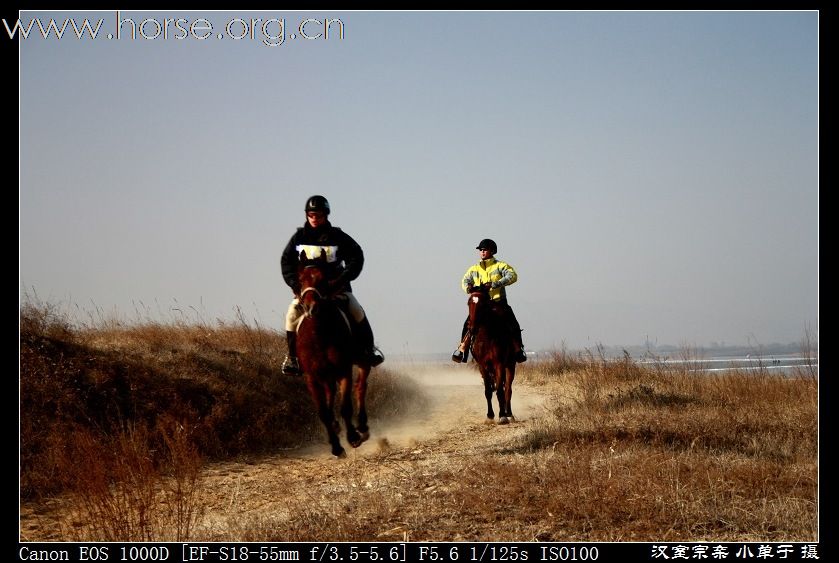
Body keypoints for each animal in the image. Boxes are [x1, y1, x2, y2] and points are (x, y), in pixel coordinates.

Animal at [296, 251, 372, 458]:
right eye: (300, 279)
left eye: (323, 279)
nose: (310, 307)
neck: (319, 335)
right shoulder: (311, 378)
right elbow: (324, 412)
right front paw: (336, 446)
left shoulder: (343, 370)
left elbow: (345, 406)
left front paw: (353, 437)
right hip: (325, 376)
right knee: (330, 396)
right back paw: (337, 427)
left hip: (362, 361)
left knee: (360, 387)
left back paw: (362, 426)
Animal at [466, 286, 520, 424]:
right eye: (469, 303)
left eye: (483, 304)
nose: (472, 329)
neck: (487, 337)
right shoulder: (482, 366)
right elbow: (488, 391)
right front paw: (490, 416)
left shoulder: (499, 364)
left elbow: (500, 391)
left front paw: (502, 415)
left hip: (510, 365)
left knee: (508, 389)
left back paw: (509, 414)